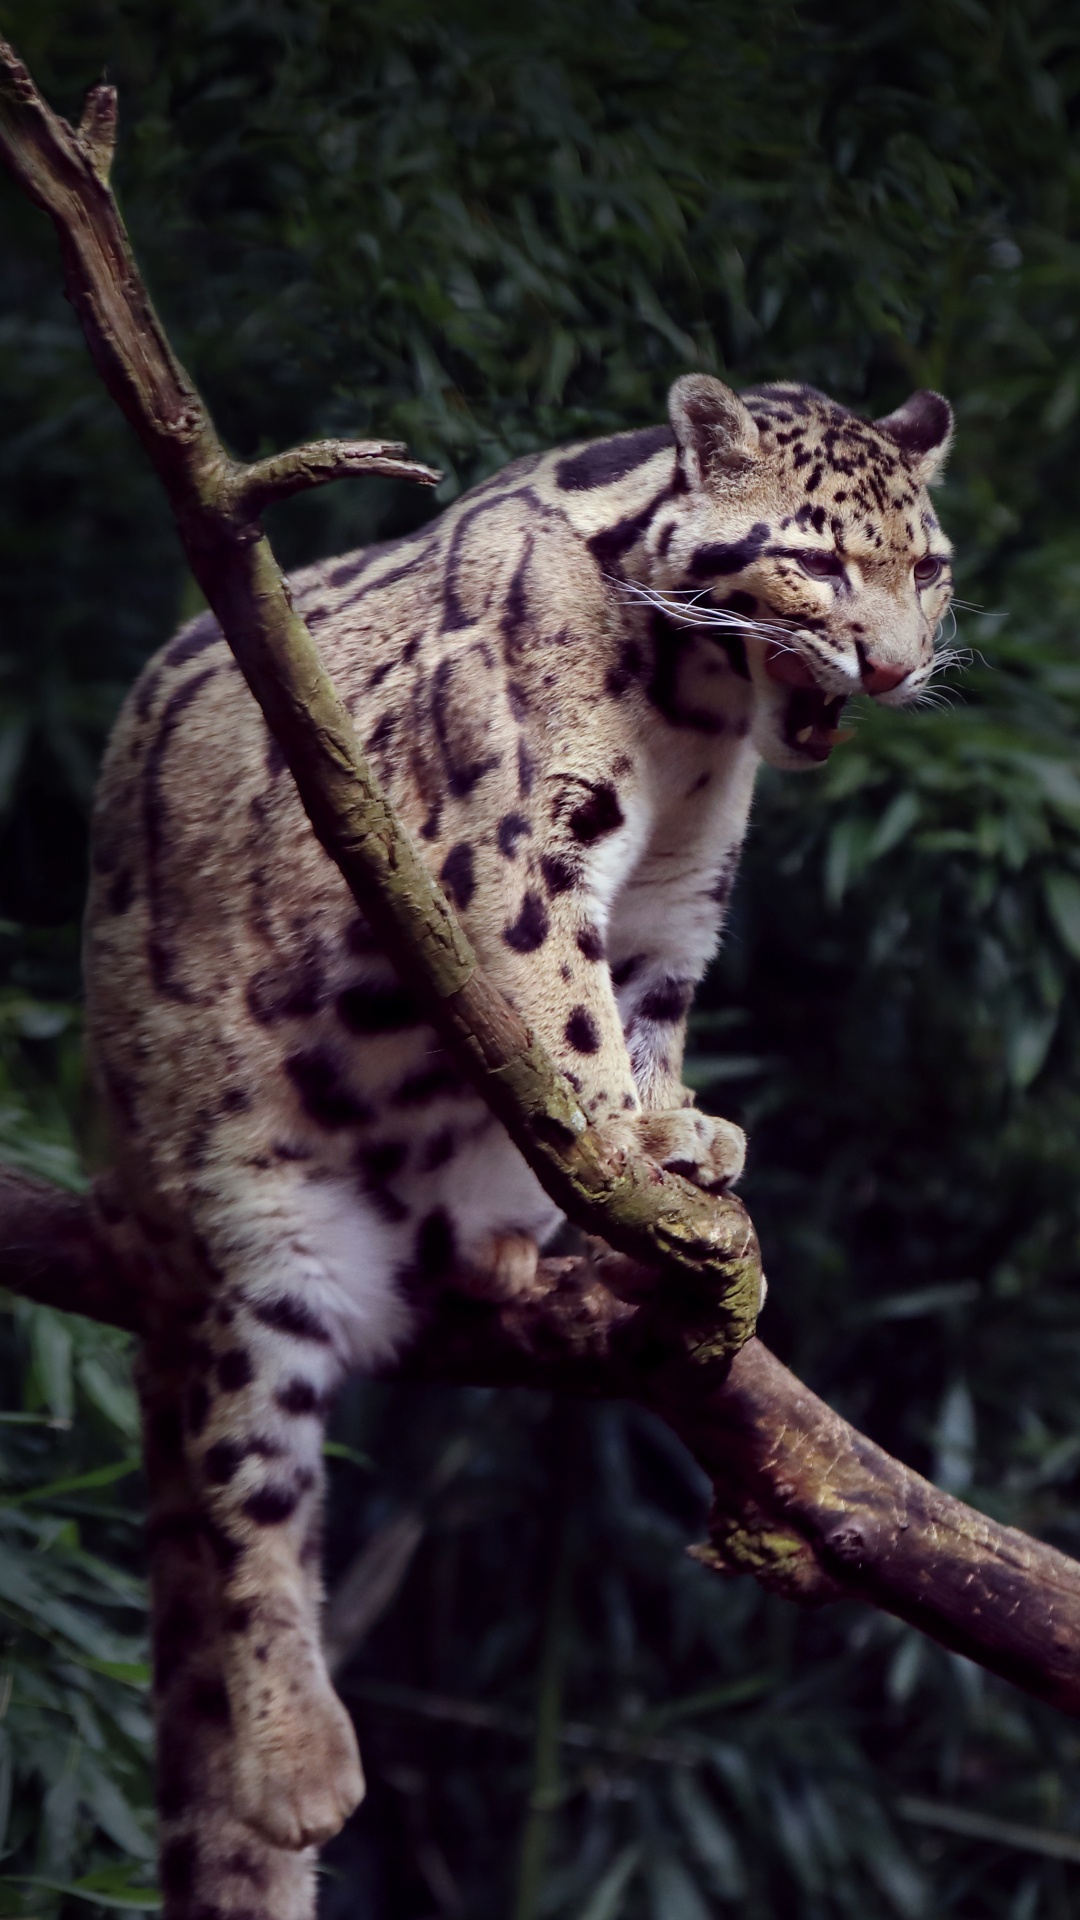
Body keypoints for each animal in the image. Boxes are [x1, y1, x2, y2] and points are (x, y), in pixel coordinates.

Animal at [83, 373, 954, 1917]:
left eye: (931, 566)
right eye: (817, 559)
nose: (897, 669)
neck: (695, 717)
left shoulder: (679, 896)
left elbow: (646, 1010)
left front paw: (676, 1131)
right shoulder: (509, 847)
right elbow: (566, 1003)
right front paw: (636, 1141)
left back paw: (497, 1248)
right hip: (256, 1234)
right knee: (251, 1488)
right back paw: (301, 1761)